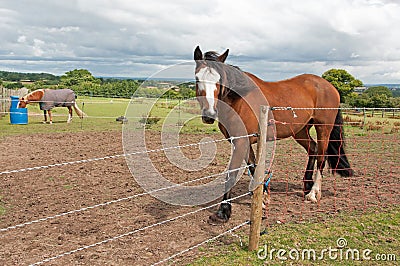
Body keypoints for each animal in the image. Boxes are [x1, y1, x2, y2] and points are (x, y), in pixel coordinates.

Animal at [194, 46, 354, 224]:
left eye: (219, 80)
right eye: (197, 79)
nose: (209, 114)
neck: (239, 99)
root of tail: (329, 86)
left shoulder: (241, 142)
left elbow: (232, 172)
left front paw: (223, 211)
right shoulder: (244, 142)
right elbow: (253, 167)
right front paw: (263, 197)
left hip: (323, 129)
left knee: (321, 156)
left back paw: (313, 192)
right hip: (300, 130)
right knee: (312, 149)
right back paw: (306, 186)